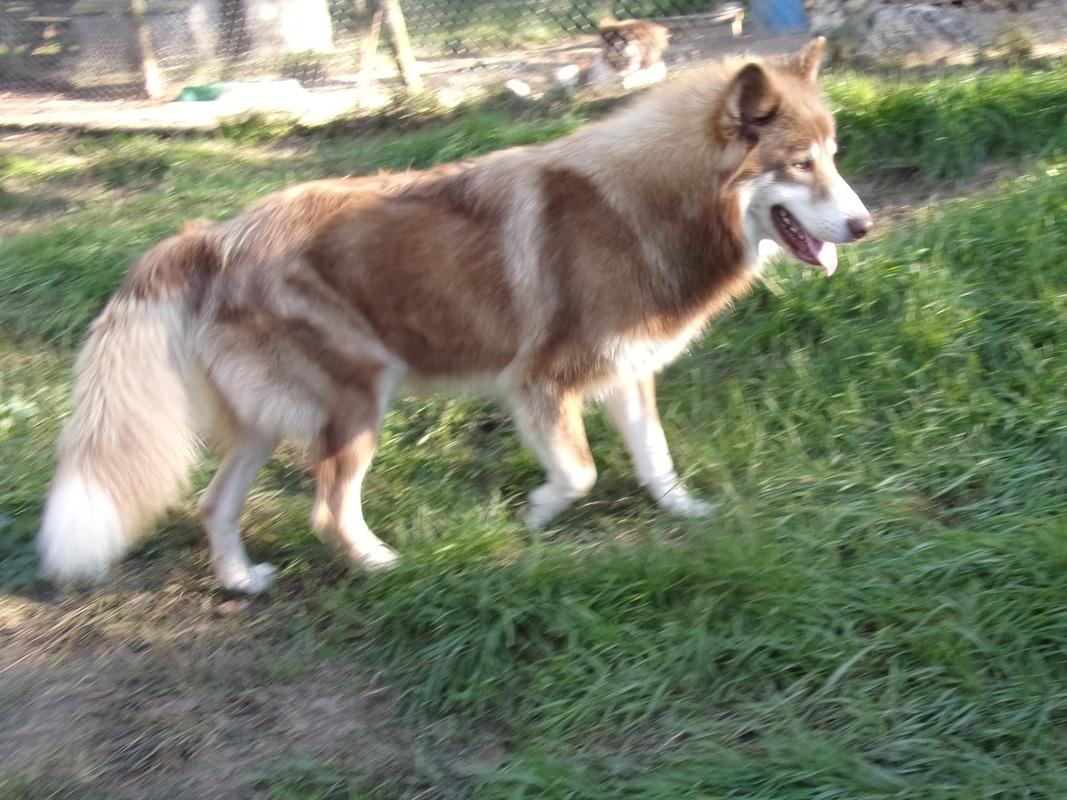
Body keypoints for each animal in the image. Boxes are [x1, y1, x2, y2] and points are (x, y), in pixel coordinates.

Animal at [39, 42, 866, 597]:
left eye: (833, 155)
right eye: (798, 164)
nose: (863, 225)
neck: (646, 206)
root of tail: (214, 235)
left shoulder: (626, 375)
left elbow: (654, 459)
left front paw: (686, 510)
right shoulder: (539, 383)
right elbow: (580, 471)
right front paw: (534, 516)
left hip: (268, 424)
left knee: (214, 504)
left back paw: (242, 581)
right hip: (356, 406)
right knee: (328, 513)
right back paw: (385, 566)